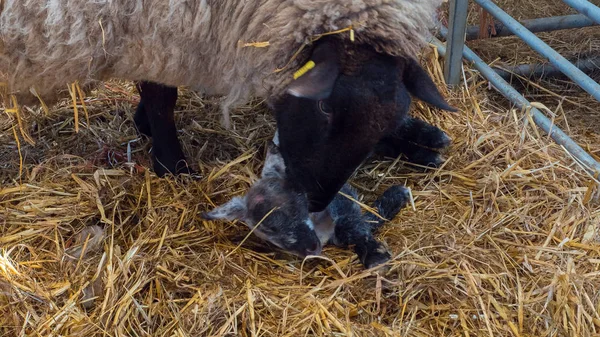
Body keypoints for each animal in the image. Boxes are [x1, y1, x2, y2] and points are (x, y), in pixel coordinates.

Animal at [1, 0, 454, 211]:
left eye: (383, 124)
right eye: (325, 109)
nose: (313, 204)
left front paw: (419, 139)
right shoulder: (156, 30)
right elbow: (162, 96)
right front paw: (172, 165)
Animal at [202, 141, 408, 268]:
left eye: (303, 202)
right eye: (269, 228)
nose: (312, 247)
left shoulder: (342, 197)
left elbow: (354, 224)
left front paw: (376, 256)